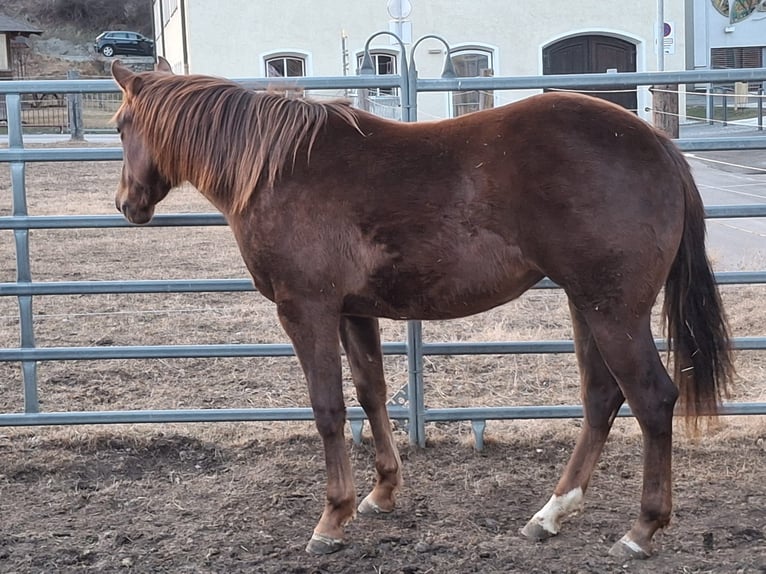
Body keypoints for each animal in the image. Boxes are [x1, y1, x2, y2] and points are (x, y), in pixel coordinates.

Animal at [110, 57, 734, 559]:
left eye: (120, 126)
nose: (125, 204)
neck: (278, 169)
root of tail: (657, 145)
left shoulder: (306, 310)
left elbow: (328, 408)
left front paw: (331, 518)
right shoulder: (353, 310)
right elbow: (371, 393)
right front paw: (381, 492)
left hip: (614, 311)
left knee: (652, 399)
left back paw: (641, 530)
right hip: (588, 304)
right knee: (602, 397)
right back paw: (551, 514)